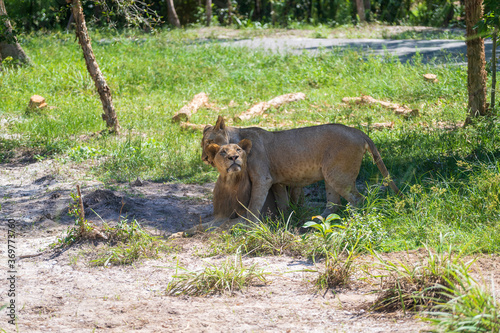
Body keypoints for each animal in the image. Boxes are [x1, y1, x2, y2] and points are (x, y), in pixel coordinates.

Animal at [201, 115, 400, 226]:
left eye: (208, 142)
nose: (204, 158)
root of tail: (356, 130)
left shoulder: (263, 179)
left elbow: (254, 204)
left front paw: (247, 224)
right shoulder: (277, 182)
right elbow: (282, 203)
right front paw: (284, 220)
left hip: (339, 175)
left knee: (359, 200)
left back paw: (353, 221)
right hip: (330, 175)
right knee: (334, 202)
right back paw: (317, 221)